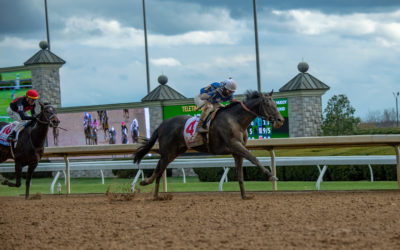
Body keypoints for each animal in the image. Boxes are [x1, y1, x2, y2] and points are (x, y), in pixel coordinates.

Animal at [134, 91, 284, 200]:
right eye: (269, 105)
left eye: (276, 104)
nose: (280, 120)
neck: (236, 120)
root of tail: (162, 125)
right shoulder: (235, 145)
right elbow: (254, 158)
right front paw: (271, 176)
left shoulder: (237, 151)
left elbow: (240, 174)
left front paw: (244, 196)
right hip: (168, 152)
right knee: (159, 168)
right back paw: (148, 186)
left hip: (174, 152)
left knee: (160, 169)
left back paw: (154, 193)